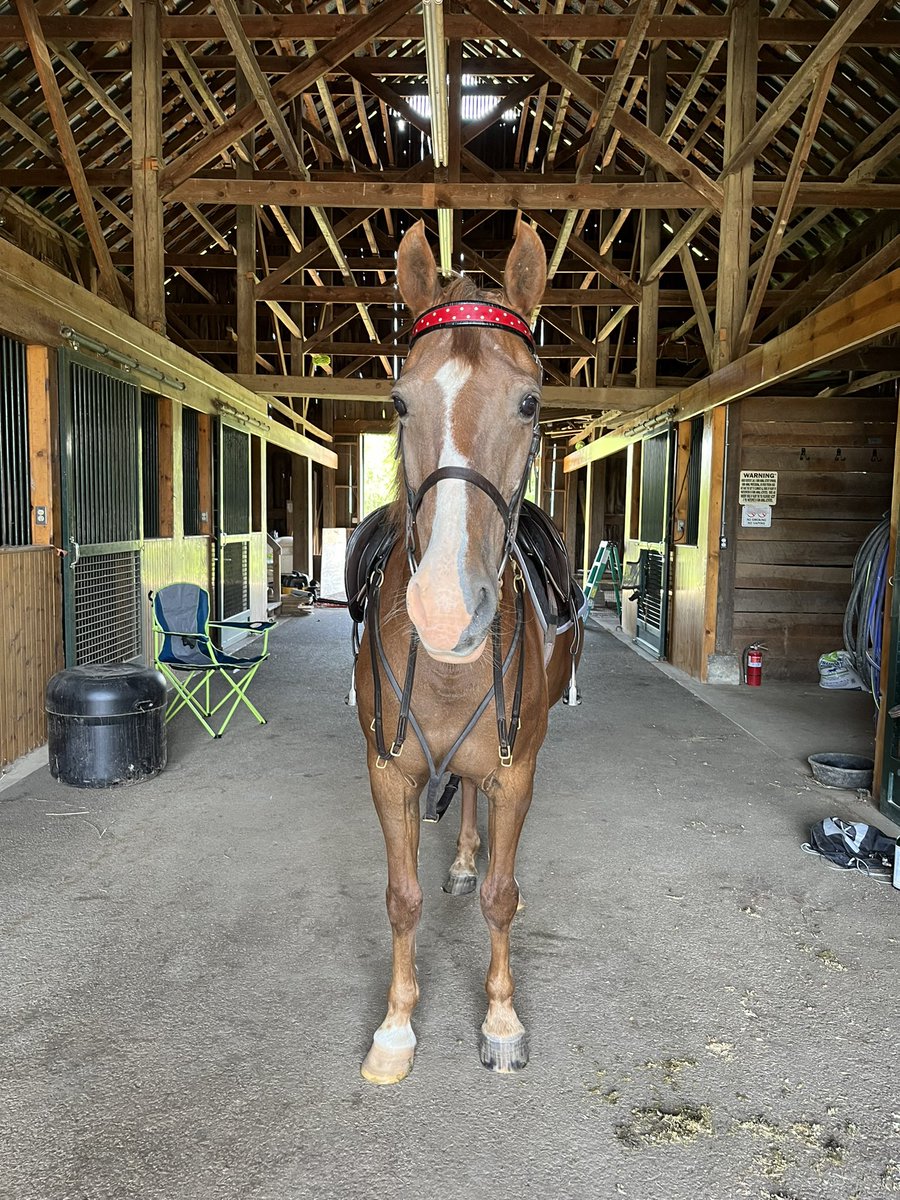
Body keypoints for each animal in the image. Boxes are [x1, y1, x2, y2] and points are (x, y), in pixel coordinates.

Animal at [347, 218, 582, 1085]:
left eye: (530, 401)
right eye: (398, 401)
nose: (447, 608)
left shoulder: (517, 771)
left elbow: (502, 897)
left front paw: (502, 1019)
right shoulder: (390, 773)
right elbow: (401, 898)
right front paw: (394, 1027)